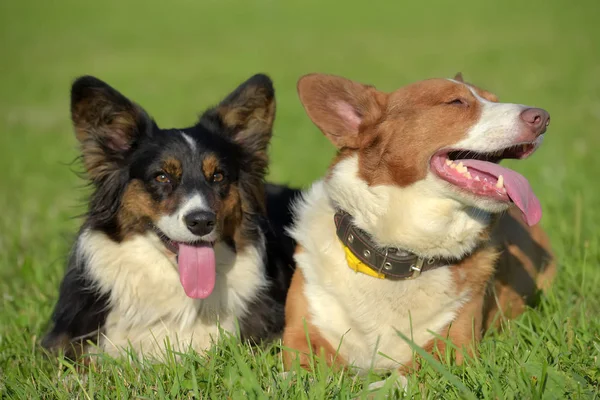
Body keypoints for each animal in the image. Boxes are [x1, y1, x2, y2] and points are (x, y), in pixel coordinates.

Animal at [284, 72, 556, 388]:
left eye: (493, 100)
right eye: (456, 102)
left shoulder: (454, 345)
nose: (543, 117)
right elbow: (297, 375)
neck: (399, 252)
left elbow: (396, 380)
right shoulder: (301, 335)